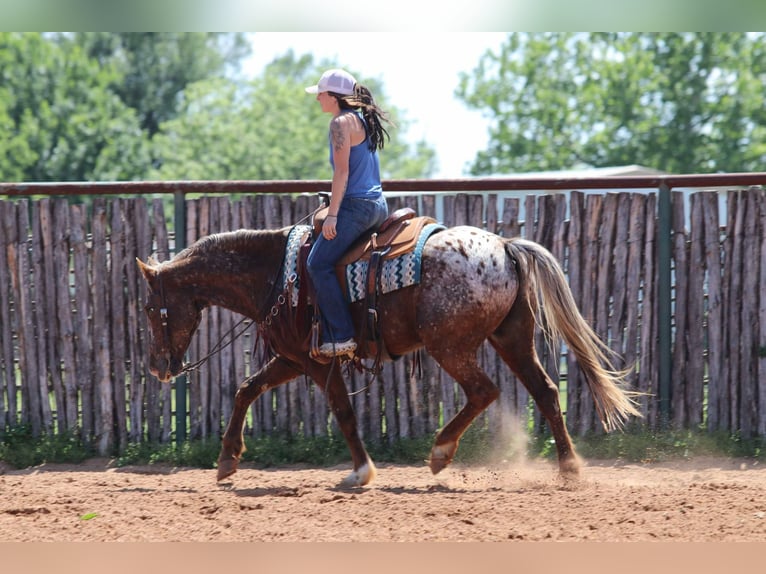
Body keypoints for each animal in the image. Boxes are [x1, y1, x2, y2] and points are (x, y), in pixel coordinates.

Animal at [137, 220, 641, 487]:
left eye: (148, 309)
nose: (159, 368)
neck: (277, 274)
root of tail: (504, 246)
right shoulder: (292, 359)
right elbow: (246, 388)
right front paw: (227, 461)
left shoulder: (316, 362)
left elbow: (342, 412)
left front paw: (361, 472)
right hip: (512, 338)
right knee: (545, 391)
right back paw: (569, 468)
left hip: (449, 346)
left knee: (485, 391)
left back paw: (441, 451)